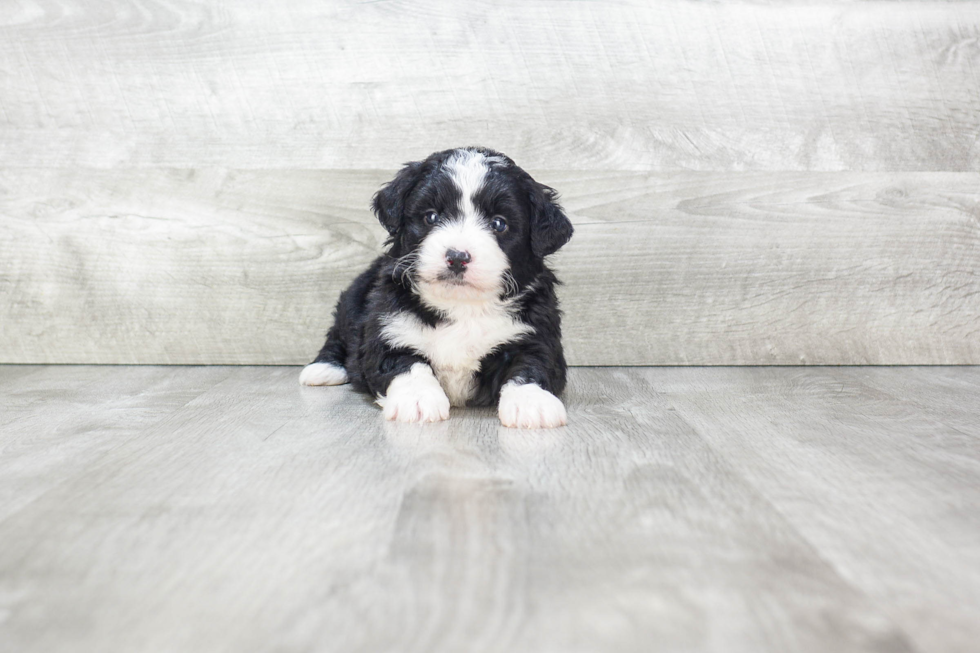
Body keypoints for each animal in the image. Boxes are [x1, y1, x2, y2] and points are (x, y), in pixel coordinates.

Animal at [300, 146, 576, 428]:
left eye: (499, 223)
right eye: (431, 216)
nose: (457, 256)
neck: (462, 305)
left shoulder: (535, 334)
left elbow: (530, 366)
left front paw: (532, 402)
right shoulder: (388, 329)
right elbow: (405, 363)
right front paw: (417, 399)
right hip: (354, 299)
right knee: (337, 333)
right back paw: (323, 368)